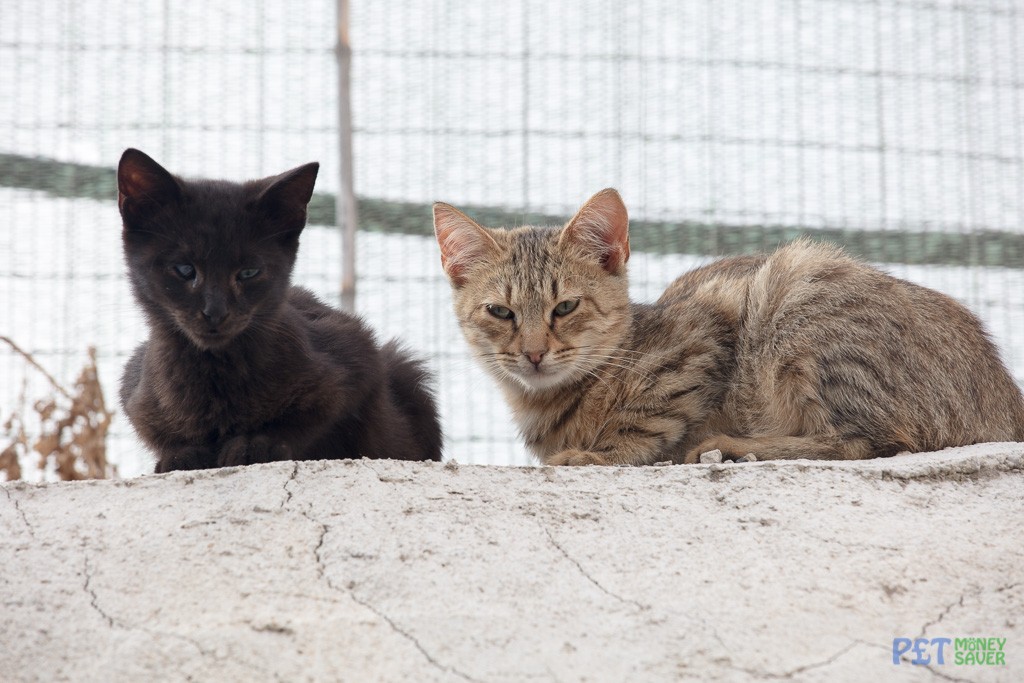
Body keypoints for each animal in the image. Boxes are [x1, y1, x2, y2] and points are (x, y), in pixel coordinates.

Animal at [117, 147, 442, 473]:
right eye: (185, 269)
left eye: (249, 272)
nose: (215, 312)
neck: (215, 373)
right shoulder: (134, 386)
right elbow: (160, 434)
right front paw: (184, 454)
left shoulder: (356, 351)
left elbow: (317, 416)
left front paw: (256, 444)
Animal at [432, 188, 1024, 464]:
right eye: (501, 312)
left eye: (564, 307)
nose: (533, 353)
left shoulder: (701, 336)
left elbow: (646, 419)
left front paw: (596, 453)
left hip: (796, 291)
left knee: (873, 442)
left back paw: (734, 447)